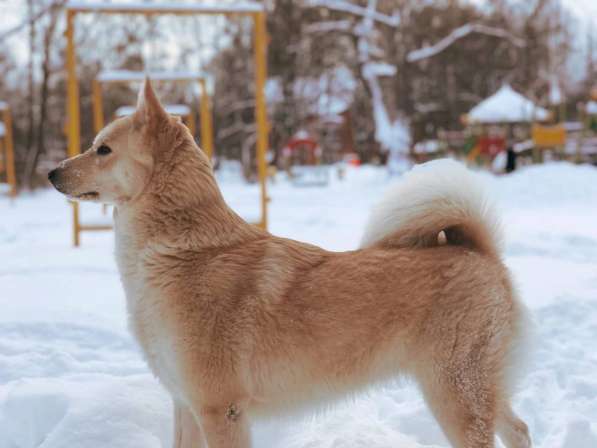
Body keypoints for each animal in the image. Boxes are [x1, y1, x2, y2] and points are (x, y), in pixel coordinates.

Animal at [49, 81, 528, 448]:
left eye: (102, 149)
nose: (51, 173)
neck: (183, 253)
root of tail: (478, 250)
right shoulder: (185, 404)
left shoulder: (219, 410)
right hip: (478, 392)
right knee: (519, 429)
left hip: (455, 395)